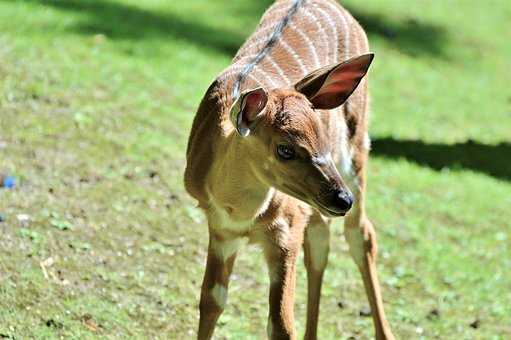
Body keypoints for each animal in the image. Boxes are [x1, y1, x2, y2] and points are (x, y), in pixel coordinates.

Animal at [185, 0, 396, 340]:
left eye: (323, 137)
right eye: (285, 149)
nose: (342, 199)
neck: (240, 212)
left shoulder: (286, 231)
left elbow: (281, 324)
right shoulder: (220, 229)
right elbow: (211, 300)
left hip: (356, 152)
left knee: (360, 234)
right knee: (321, 239)